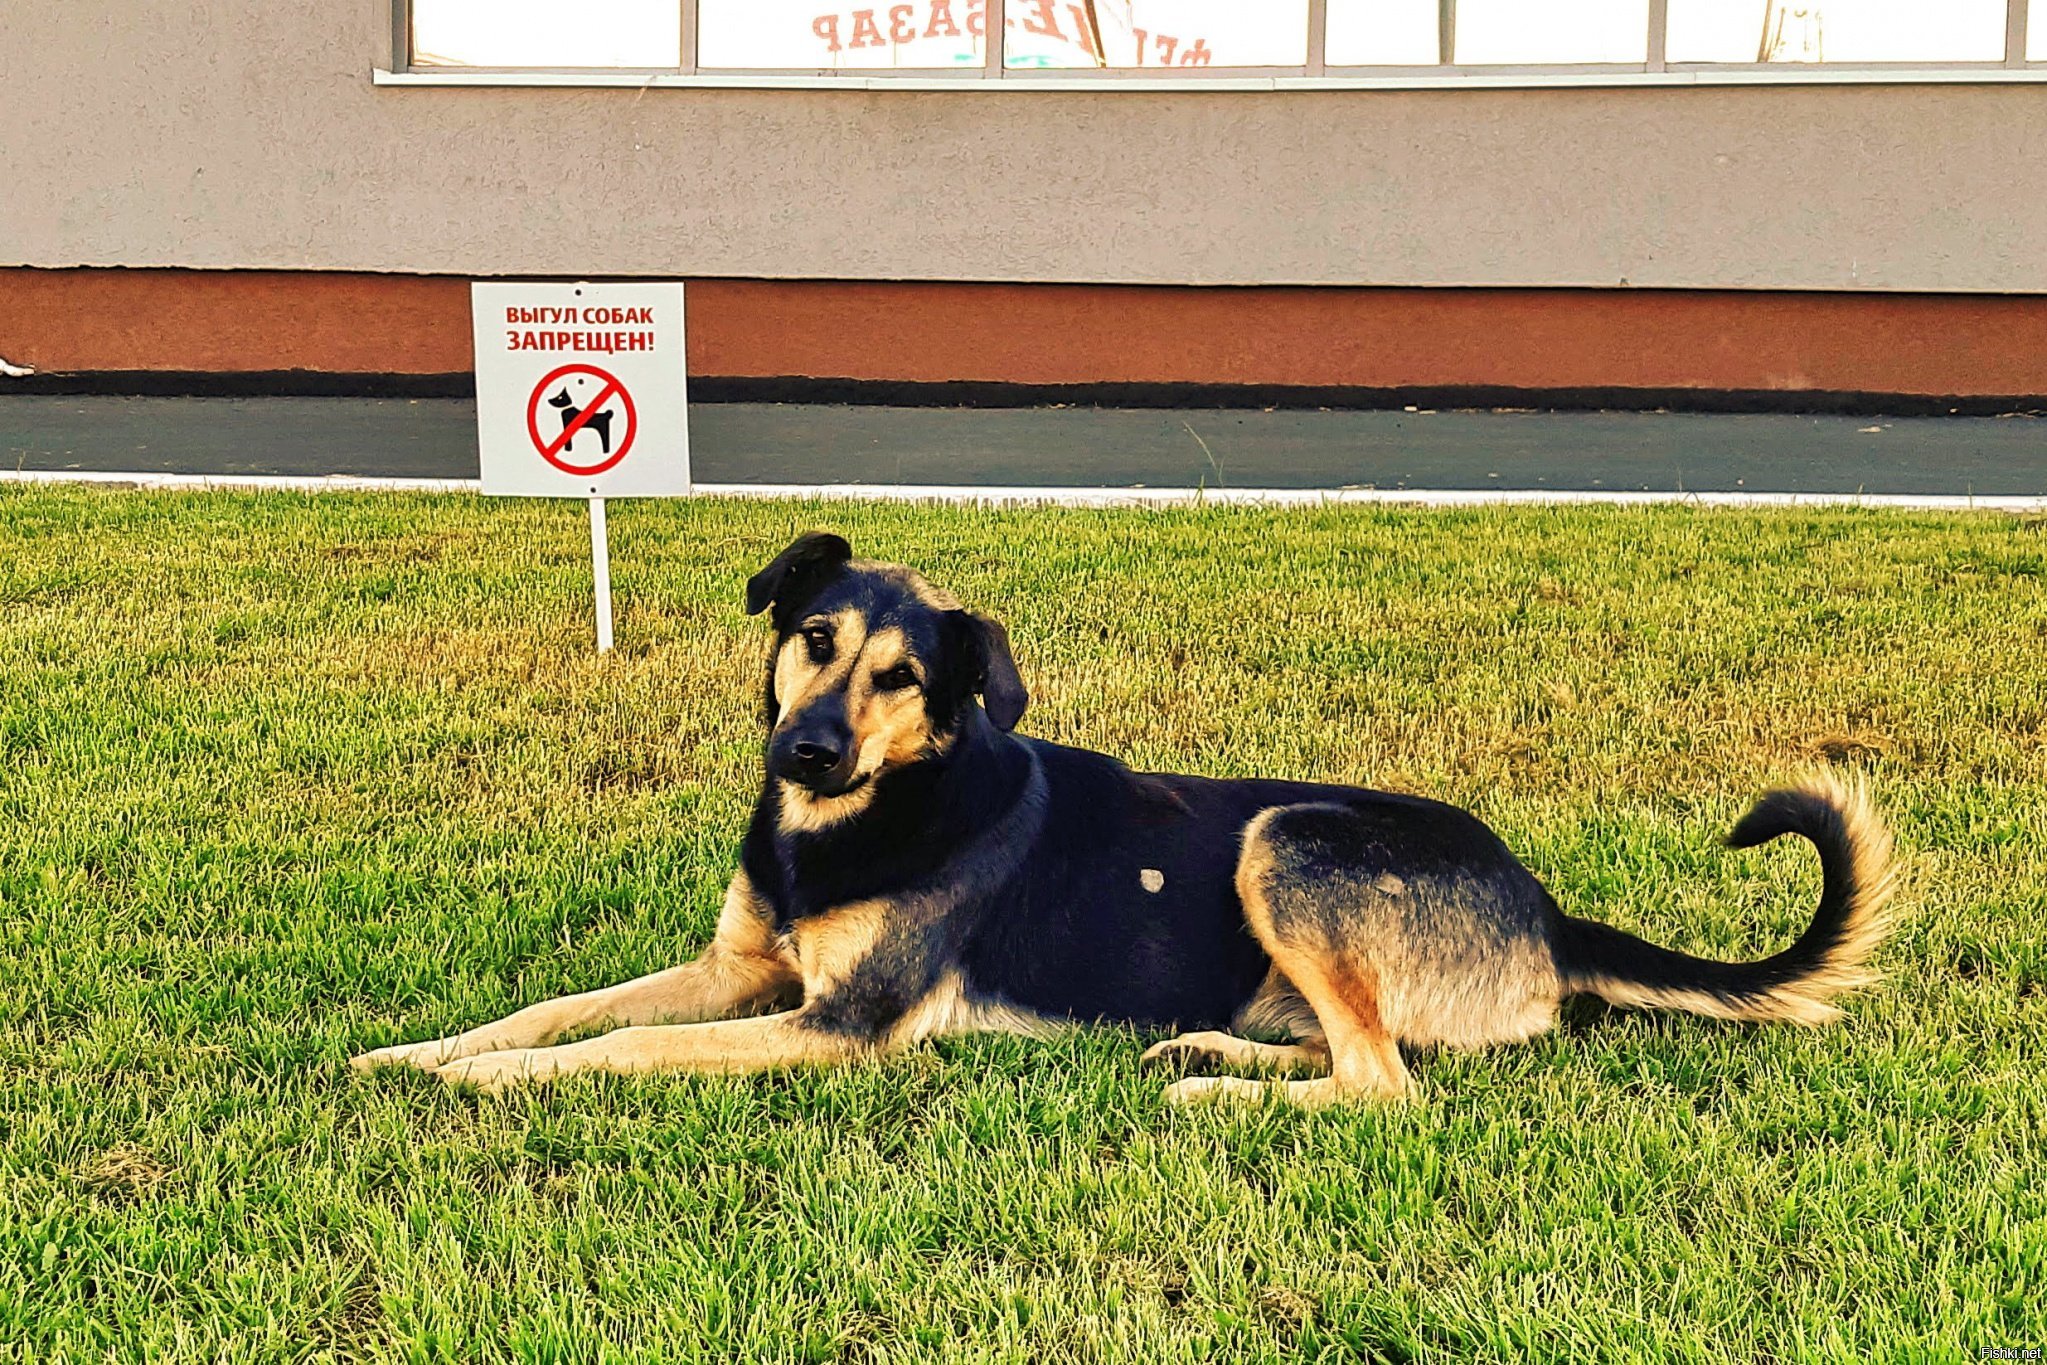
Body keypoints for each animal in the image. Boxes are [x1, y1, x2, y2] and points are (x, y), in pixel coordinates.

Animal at [356, 527, 1899, 1105]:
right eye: (813, 636)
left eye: (902, 677)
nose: (803, 748)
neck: (858, 820)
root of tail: (1544, 908)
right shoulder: (739, 967)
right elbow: (560, 1006)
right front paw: (418, 1049)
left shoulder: (830, 1025)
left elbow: (617, 1044)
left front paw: (482, 1090)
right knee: (1359, 1053)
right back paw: (1211, 1047)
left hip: (1289, 838)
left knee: (1384, 1086)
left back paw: (1214, 1092)